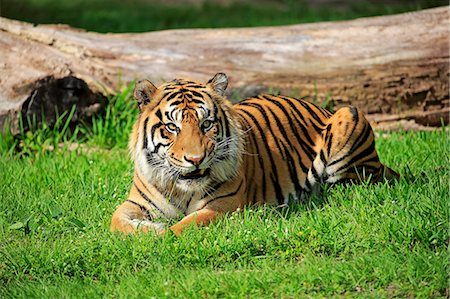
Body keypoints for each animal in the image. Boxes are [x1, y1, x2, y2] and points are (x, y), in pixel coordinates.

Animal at [110, 72, 400, 237]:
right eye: (172, 127)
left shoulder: (222, 205)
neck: (181, 189)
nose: (195, 160)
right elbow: (116, 221)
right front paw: (146, 230)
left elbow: (183, 227)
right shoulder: (137, 202)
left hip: (349, 116)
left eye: (207, 123)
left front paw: (159, 234)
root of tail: (323, 108)